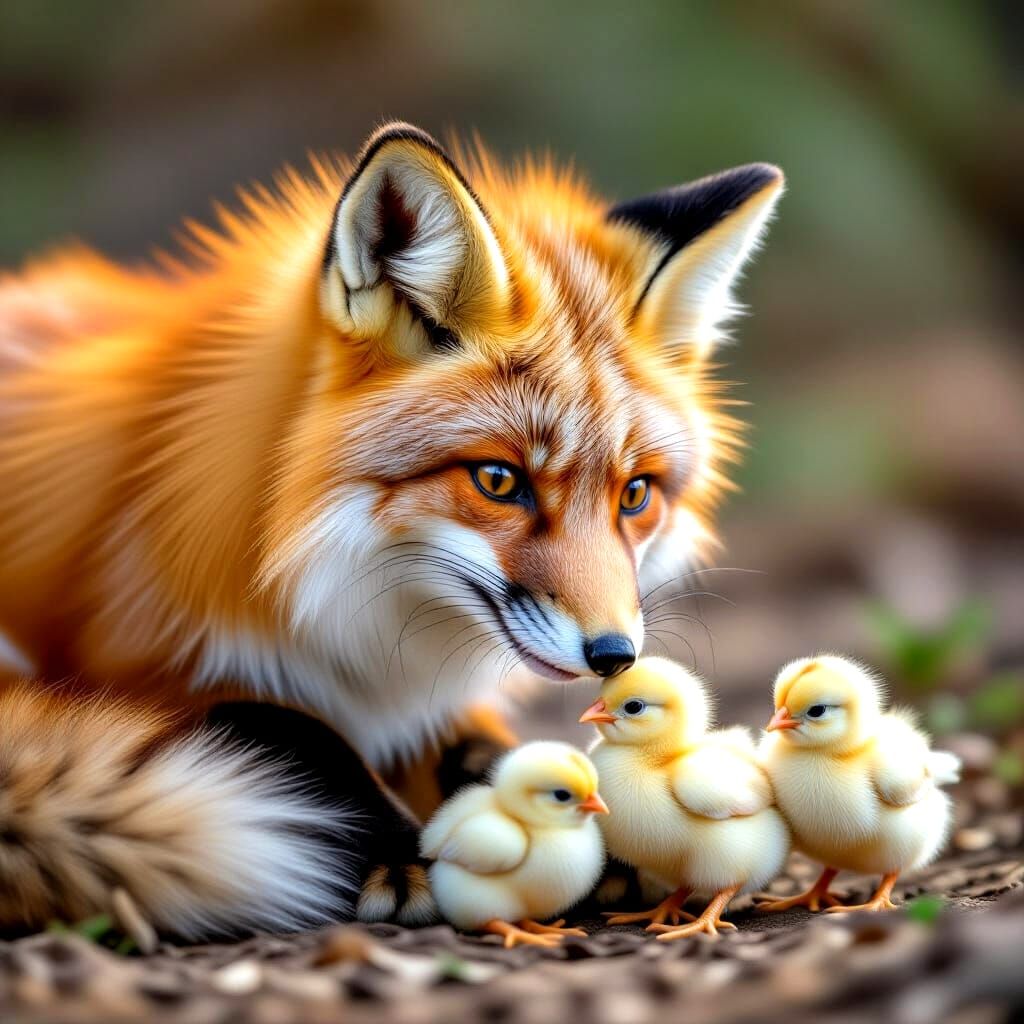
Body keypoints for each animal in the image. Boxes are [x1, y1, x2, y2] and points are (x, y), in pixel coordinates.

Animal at [0, 122, 784, 940]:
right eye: (498, 480)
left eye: (634, 494)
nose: (614, 656)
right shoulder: (128, 664)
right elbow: (294, 729)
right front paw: (404, 852)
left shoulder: (418, 700)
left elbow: (485, 750)